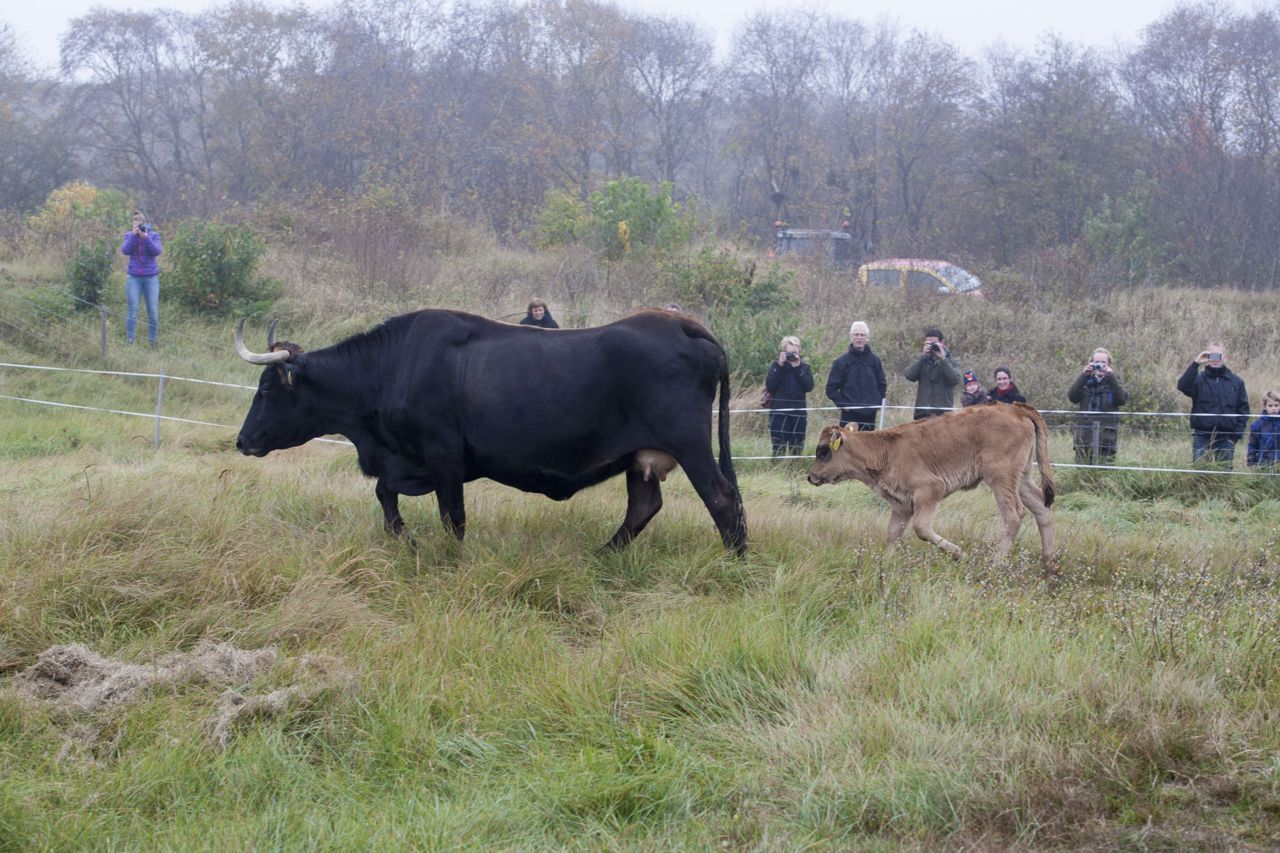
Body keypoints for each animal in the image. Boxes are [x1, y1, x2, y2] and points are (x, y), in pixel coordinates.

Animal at [235, 306, 747, 550]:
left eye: (267, 389)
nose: (242, 441)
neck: (391, 368)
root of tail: (680, 324)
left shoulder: (443, 456)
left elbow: (452, 517)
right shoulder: (409, 462)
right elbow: (385, 493)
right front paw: (405, 539)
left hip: (689, 445)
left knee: (722, 499)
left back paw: (735, 563)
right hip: (640, 457)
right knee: (643, 507)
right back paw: (602, 555)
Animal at [803, 402, 1054, 568]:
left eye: (823, 451)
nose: (811, 476)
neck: (886, 450)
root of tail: (1014, 408)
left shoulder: (929, 491)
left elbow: (921, 529)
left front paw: (959, 554)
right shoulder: (901, 506)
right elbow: (892, 534)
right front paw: (888, 562)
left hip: (1000, 478)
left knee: (1014, 515)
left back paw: (995, 563)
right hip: (1021, 478)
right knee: (1042, 508)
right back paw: (1049, 563)